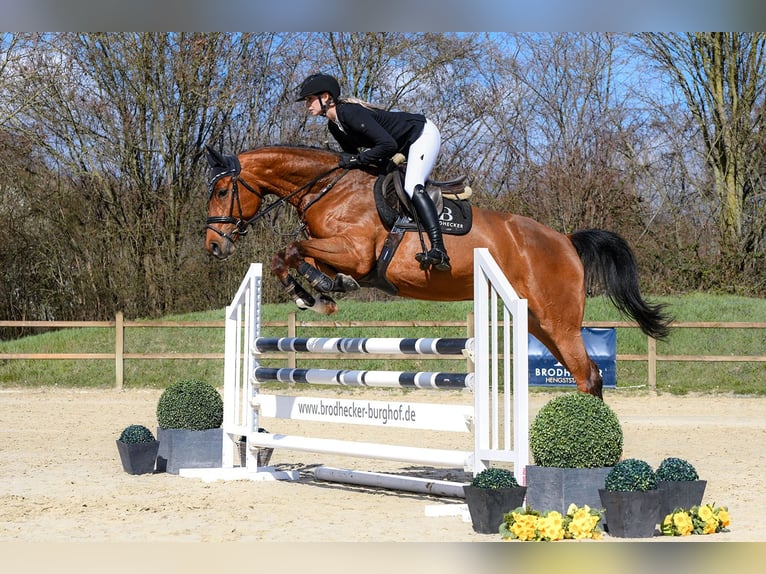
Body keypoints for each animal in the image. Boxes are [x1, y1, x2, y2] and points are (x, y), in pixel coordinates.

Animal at [204, 144, 672, 399]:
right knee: (585, 374)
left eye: (223, 190)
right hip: (539, 324)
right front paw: (316, 293)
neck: (328, 188)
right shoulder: (337, 252)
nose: (213, 246)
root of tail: (566, 241)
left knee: (588, 375)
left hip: (559, 320)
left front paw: (315, 290)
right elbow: (294, 257)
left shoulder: (357, 252)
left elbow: (290, 250)